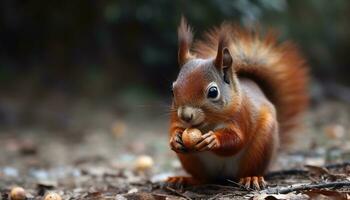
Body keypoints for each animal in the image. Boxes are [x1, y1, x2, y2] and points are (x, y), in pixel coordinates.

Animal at [168, 17, 308, 189]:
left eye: (213, 92)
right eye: (172, 90)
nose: (185, 116)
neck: (207, 124)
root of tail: (223, 176)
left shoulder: (242, 115)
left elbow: (237, 139)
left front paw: (213, 139)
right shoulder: (176, 118)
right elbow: (174, 128)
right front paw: (175, 139)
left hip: (260, 148)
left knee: (250, 169)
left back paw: (252, 178)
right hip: (192, 161)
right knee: (203, 178)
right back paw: (184, 179)